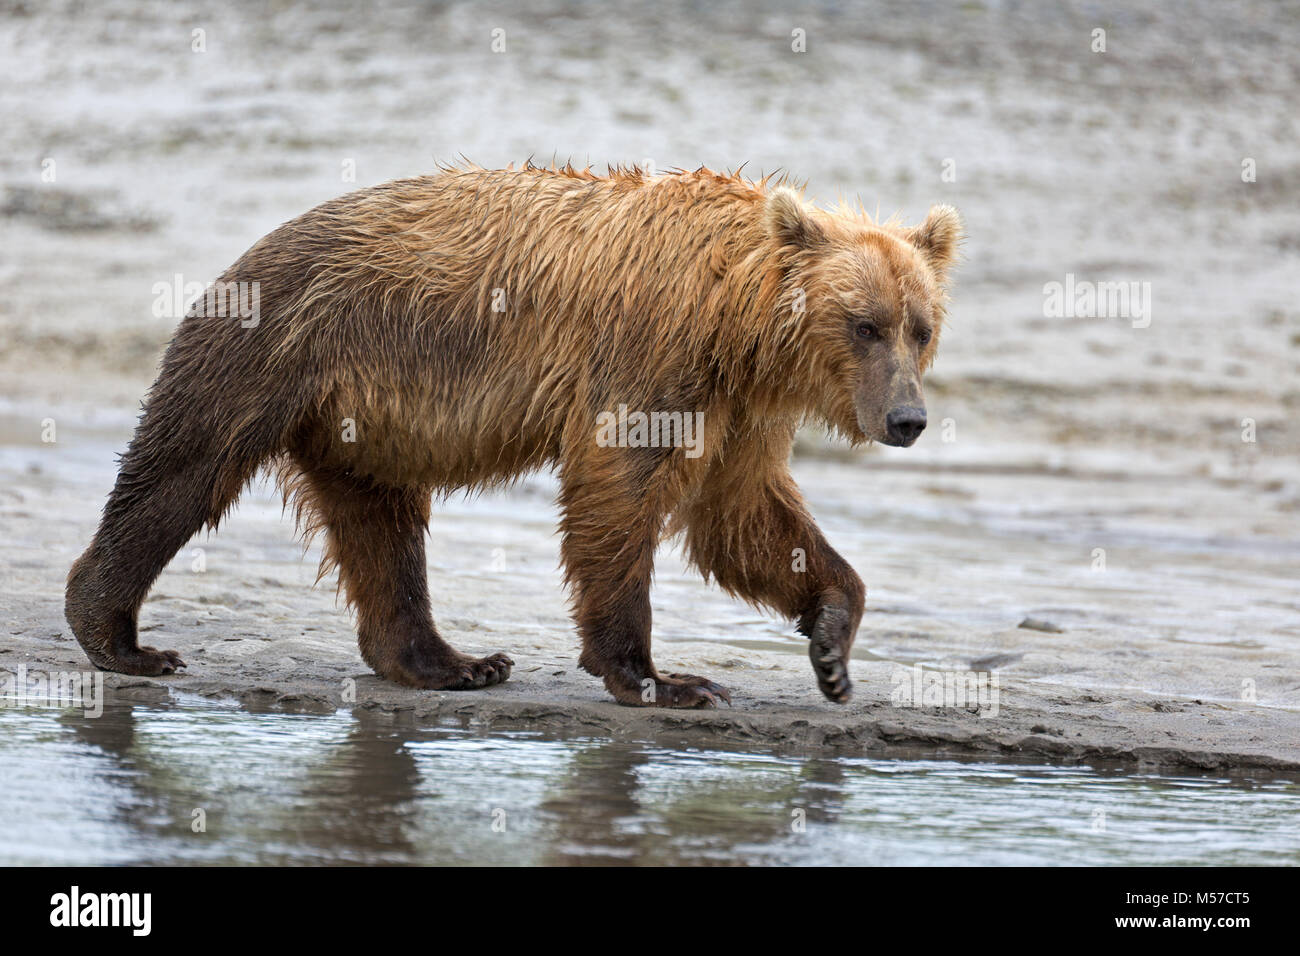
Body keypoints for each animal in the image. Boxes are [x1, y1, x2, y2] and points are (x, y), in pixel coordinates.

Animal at [65, 160, 961, 707]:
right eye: (864, 325)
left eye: (921, 327)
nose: (908, 419)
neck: (736, 325)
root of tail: (243, 255)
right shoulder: (653, 359)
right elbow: (618, 489)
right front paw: (661, 677)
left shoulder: (740, 411)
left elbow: (740, 517)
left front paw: (833, 648)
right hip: (275, 346)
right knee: (184, 471)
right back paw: (120, 636)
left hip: (360, 421)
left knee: (381, 526)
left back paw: (451, 661)